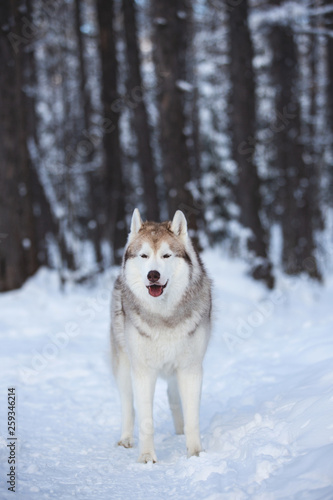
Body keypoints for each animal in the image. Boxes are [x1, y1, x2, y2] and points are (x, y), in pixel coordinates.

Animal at [110, 209, 211, 462]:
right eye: (144, 256)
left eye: (166, 255)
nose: (153, 275)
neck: (164, 316)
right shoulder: (143, 372)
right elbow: (146, 419)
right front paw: (147, 458)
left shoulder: (191, 369)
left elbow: (193, 418)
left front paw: (196, 454)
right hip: (124, 367)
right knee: (128, 405)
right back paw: (126, 439)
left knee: (173, 397)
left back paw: (179, 430)